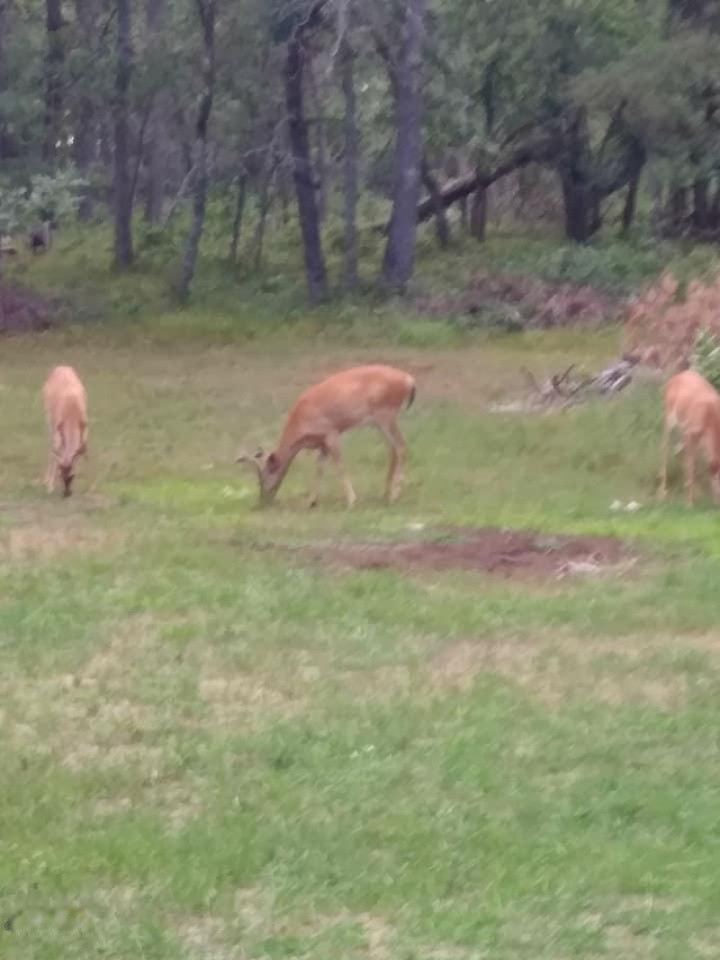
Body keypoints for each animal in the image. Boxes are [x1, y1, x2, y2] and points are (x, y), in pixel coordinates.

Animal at [42, 365, 89, 498]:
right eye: (60, 475)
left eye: (72, 476)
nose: (67, 493)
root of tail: (61, 366)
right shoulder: (58, 427)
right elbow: (55, 451)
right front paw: (50, 487)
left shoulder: (84, 427)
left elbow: (82, 452)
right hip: (49, 419)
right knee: (50, 445)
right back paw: (46, 480)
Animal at [237, 364, 416, 508]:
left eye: (263, 478)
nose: (263, 501)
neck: (301, 425)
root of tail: (409, 380)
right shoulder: (322, 441)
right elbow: (319, 468)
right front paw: (310, 501)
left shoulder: (331, 432)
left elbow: (339, 465)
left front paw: (352, 501)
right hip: (379, 421)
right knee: (393, 449)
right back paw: (385, 493)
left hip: (385, 414)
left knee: (401, 446)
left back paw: (394, 495)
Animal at [658, 369, 720, 506]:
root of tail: (676, 376)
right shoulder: (690, 433)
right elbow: (692, 466)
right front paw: (689, 502)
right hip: (669, 417)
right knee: (665, 448)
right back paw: (663, 492)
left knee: (680, 453)